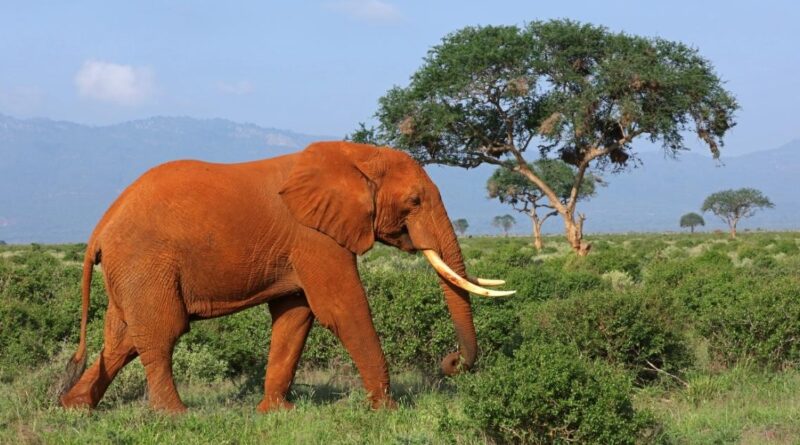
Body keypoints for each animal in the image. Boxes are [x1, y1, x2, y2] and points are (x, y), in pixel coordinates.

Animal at [58, 141, 514, 412]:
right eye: (415, 201)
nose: (450, 363)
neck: (355, 154)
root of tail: (100, 228)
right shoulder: (315, 238)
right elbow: (342, 309)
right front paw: (387, 411)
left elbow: (295, 317)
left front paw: (277, 413)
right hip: (145, 263)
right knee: (161, 332)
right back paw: (175, 417)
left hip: (130, 271)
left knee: (122, 339)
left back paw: (75, 406)